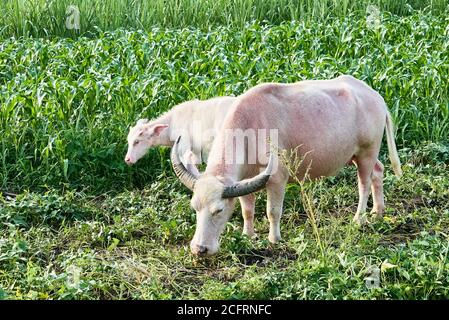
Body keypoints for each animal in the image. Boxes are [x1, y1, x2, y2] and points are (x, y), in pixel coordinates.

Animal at [172, 74, 402, 255]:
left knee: (364, 183)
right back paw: (378, 211)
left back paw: (359, 218)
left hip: (367, 151)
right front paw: (248, 235)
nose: (199, 249)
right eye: (194, 207)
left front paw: (274, 239)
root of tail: (376, 97)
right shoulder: (243, 180)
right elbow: (247, 210)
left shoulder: (276, 179)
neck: (249, 130)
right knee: (378, 171)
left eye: (218, 210)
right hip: (358, 155)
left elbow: (273, 211)